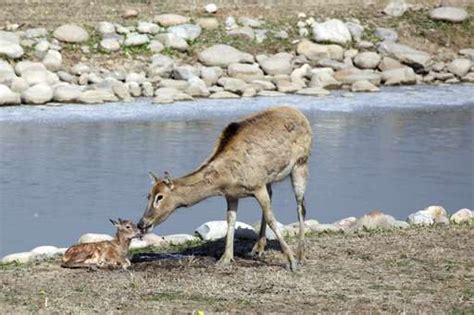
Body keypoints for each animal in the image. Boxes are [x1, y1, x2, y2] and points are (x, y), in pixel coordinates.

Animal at [139, 107, 312, 272]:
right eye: (148, 195)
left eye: (160, 197)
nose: (142, 223)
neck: (224, 180)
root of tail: (301, 115)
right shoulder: (232, 194)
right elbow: (231, 220)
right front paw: (226, 258)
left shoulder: (257, 185)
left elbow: (272, 219)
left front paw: (291, 262)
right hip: (269, 179)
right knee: (274, 197)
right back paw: (258, 249)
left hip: (301, 163)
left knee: (301, 205)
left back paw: (301, 254)